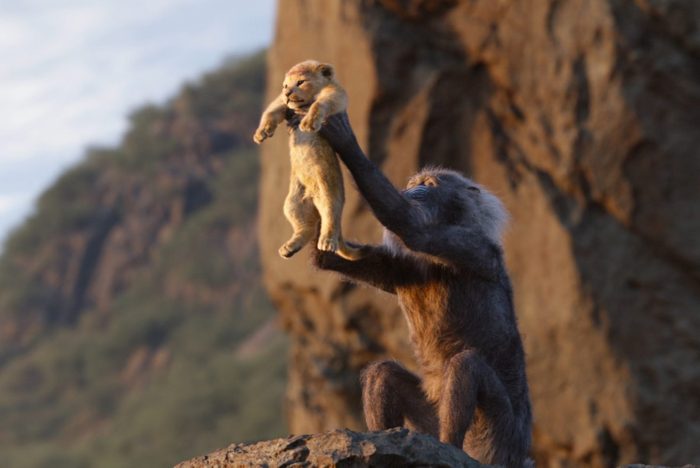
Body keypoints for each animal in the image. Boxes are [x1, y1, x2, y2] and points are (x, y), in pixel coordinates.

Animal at [254, 60, 359, 260]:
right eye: (285, 86)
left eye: (301, 82)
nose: (288, 93)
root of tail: (313, 196)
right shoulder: (282, 103)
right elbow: (270, 111)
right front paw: (261, 133)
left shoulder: (336, 96)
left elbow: (319, 104)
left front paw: (308, 123)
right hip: (293, 203)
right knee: (308, 228)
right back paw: (289, 248)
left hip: (329, 192)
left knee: (331, 217)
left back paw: (327, 242)